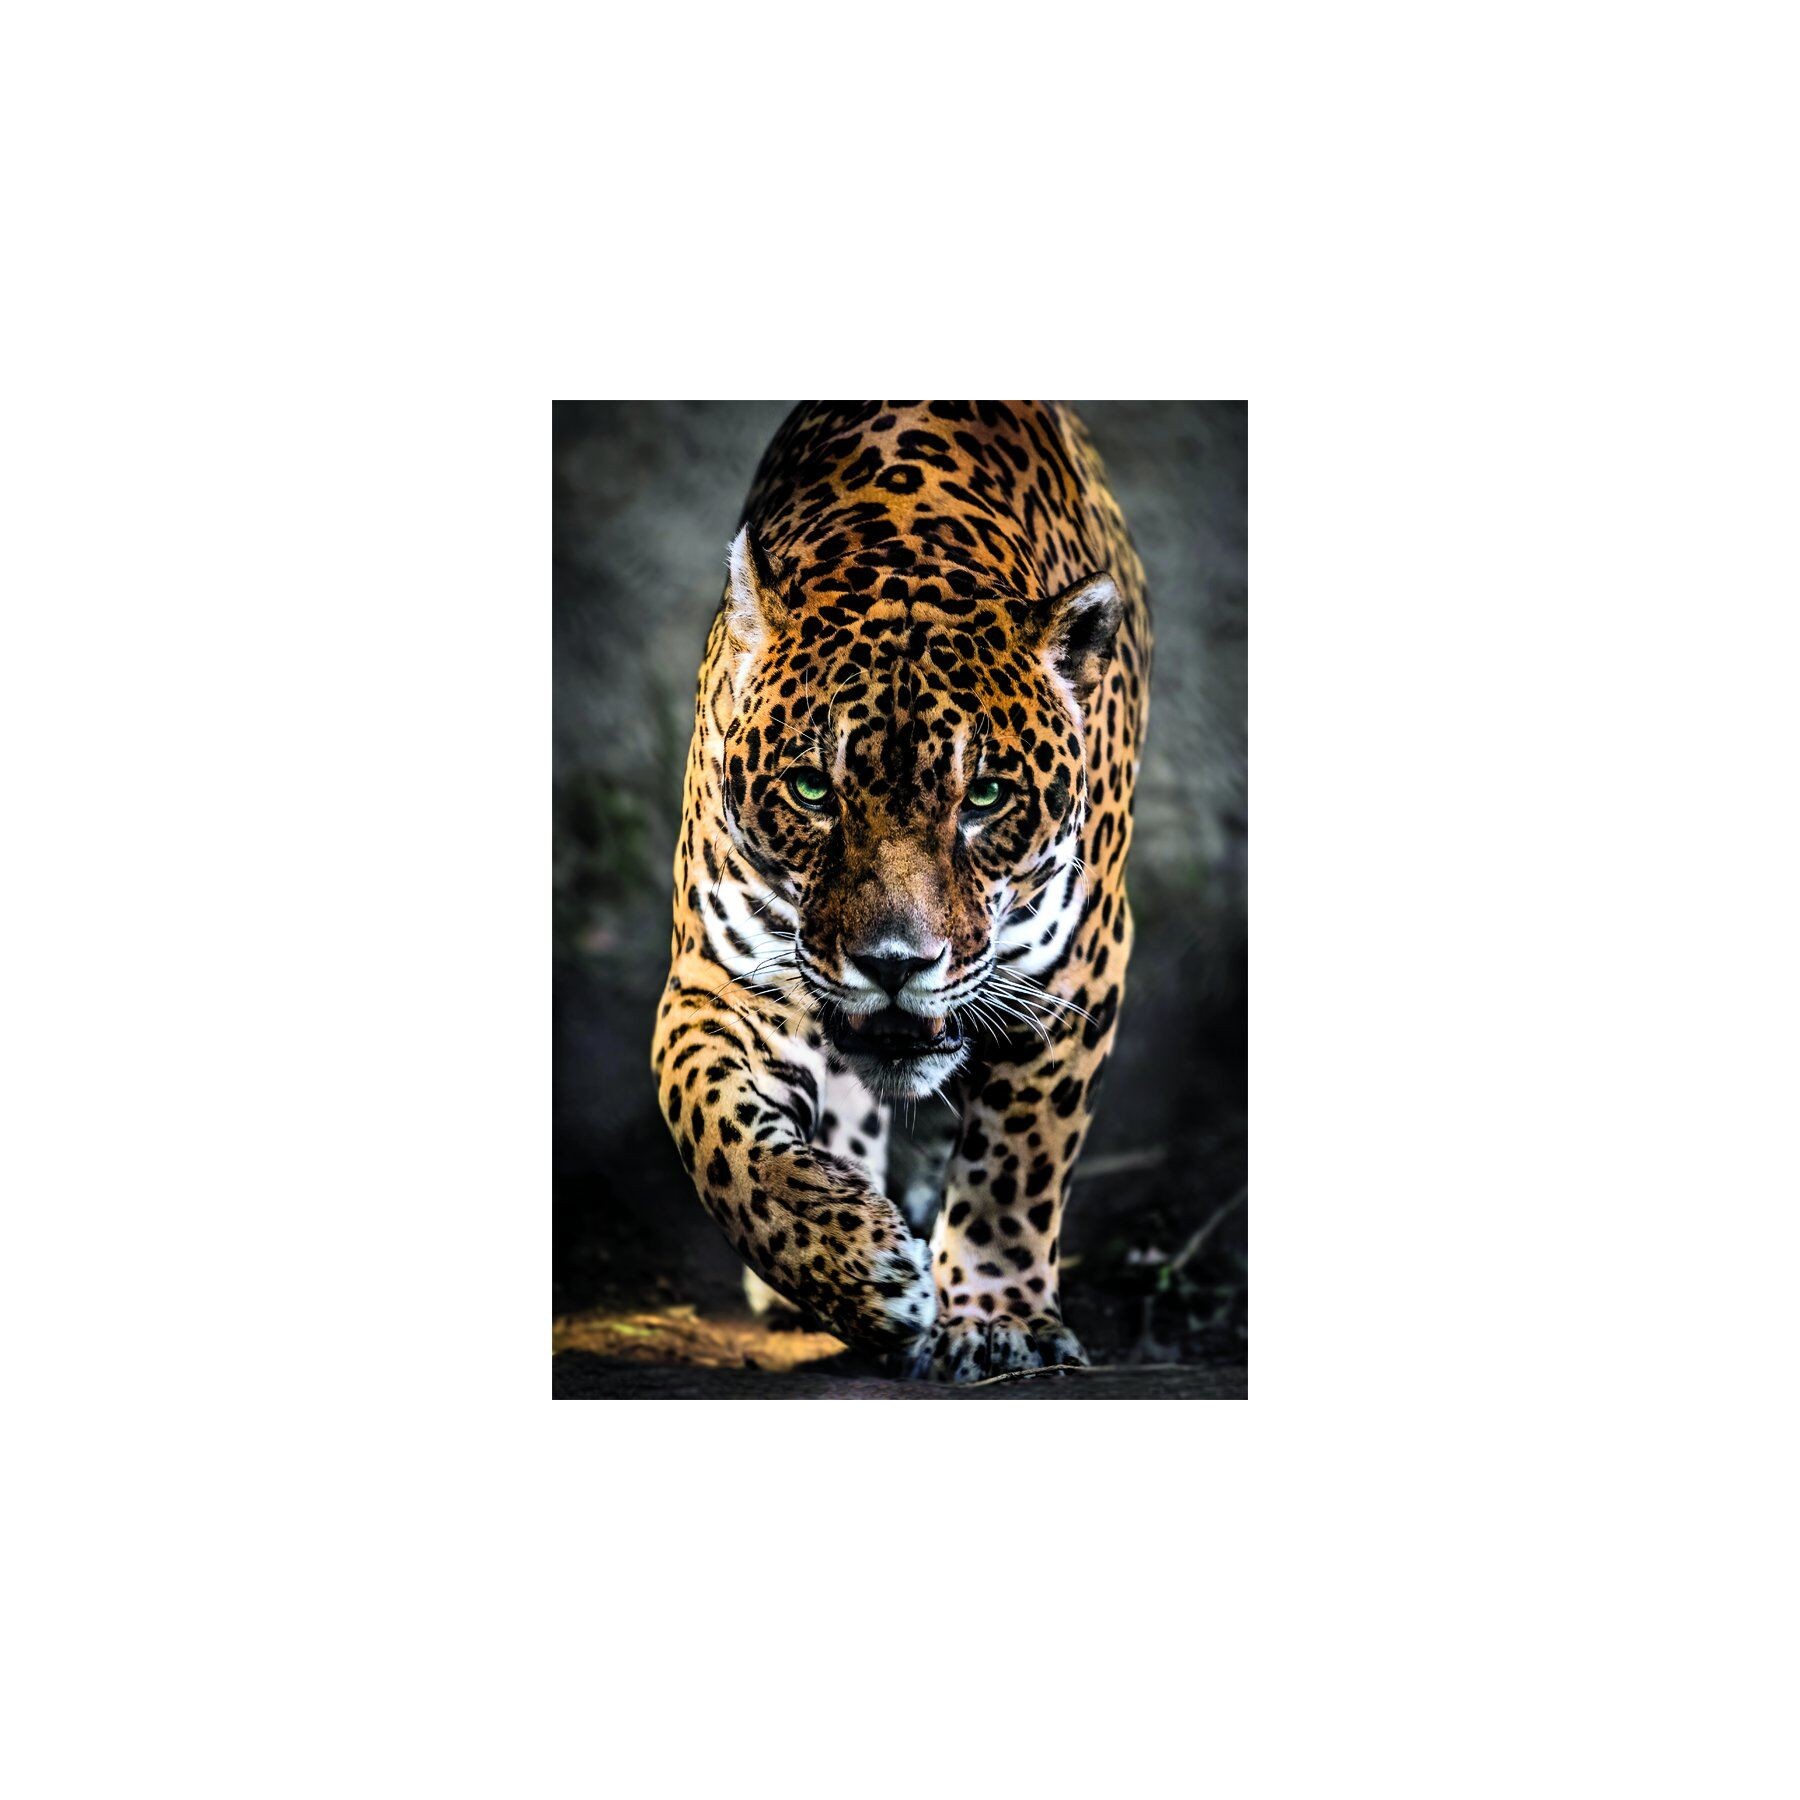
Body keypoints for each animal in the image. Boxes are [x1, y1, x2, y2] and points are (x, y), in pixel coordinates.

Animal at [651, 402, 1150, 1382]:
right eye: (813, 789)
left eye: (985, 797)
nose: (893, 964)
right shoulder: (717, 978)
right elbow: (715, 1132)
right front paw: (857, 1269)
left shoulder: (1075, 973)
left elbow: (1017, 1162)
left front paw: (996, 1320)